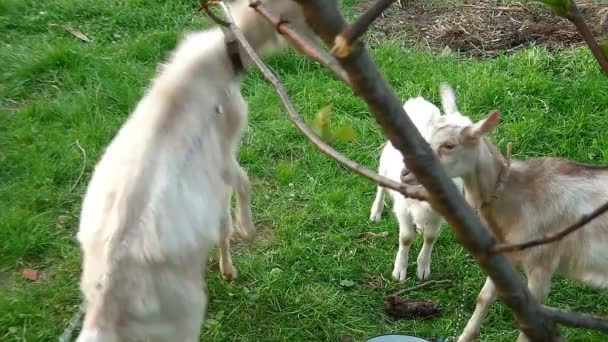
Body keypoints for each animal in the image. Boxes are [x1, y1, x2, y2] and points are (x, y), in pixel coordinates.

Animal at [73, 1, 316, 340]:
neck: (221, 57)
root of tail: (104, 310)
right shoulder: (224, 147)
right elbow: (243, 184)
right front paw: (246, 230)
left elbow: (224, 218)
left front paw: (229, 264)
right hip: (182, 315)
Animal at [368, 97, 464, 282]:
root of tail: (418, 101)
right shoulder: (403, 209)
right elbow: (406, 239)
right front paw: (399, 272)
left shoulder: (439, 215)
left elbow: (431, 237)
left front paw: (423, 270)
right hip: (385, 163)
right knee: (381, 187)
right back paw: (375, 213)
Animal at [404, 83, 608, 342]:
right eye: (424, 138)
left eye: (449, 145)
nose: (405, 173)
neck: (516, 198)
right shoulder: (503, 253)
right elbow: (484, 296)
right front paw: (466, 336)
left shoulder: (541, 263)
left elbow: (529, 326)